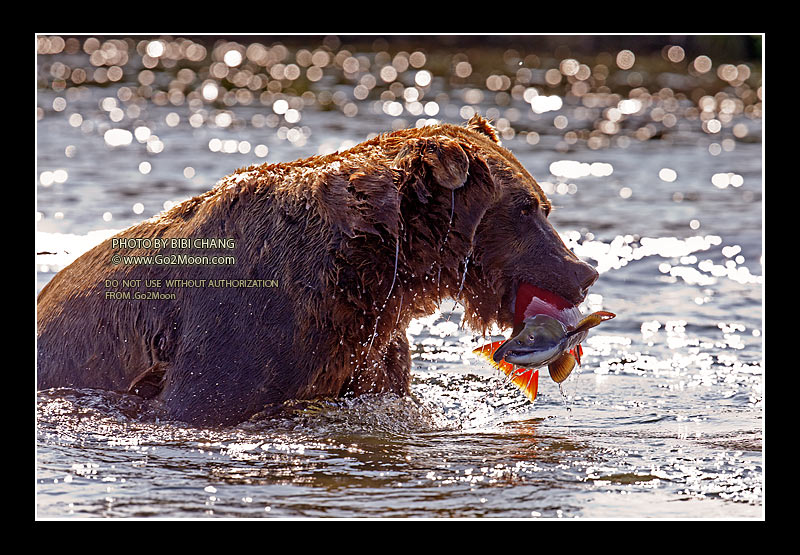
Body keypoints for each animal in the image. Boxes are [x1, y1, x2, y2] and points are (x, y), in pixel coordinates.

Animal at [36, 115, 598, 426]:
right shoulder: (247, 326)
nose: (583, 272)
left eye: (544, 204)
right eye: (526, 208)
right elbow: (204, 399)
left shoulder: (365, 339)